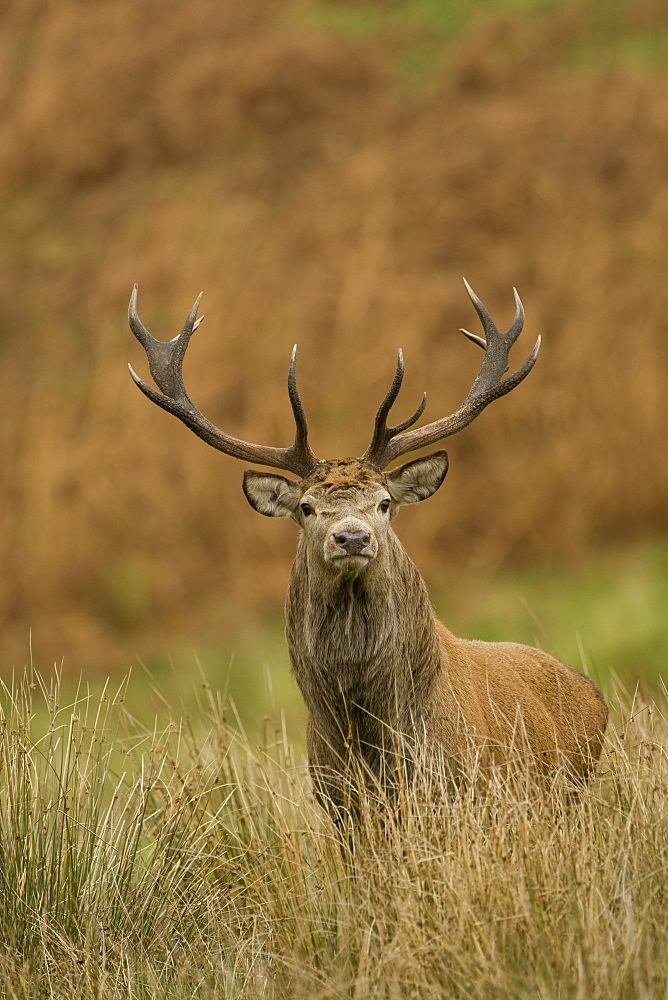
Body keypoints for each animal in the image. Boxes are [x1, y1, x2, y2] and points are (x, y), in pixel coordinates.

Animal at [128, 278, 608, 816]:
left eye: (384, 502)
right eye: (307, 507)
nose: (353, 536)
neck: (368, 734)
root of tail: (594, 694)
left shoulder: (461, 791)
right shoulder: (338, 803)